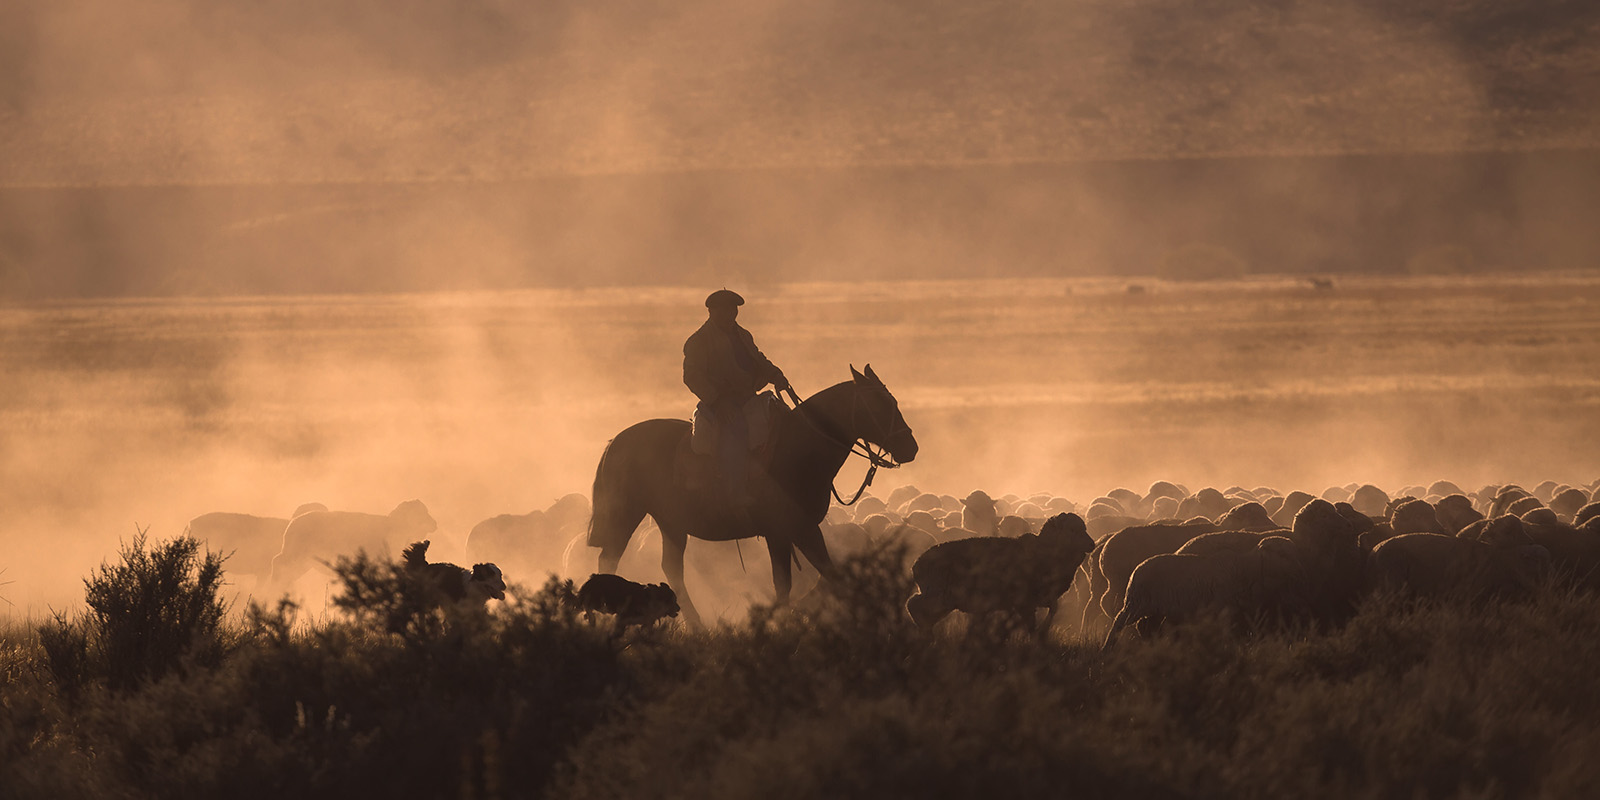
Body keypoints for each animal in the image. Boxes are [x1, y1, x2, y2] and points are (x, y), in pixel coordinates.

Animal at [270, 499, 438, 595]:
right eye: (421, 513)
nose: (434, 524)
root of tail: (293, 522)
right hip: (294, 555)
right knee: (277, 565)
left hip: (302, 561)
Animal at [588, 366, 921, 627]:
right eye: (879, 405)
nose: (911, 448)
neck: (798, 450)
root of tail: (615, 441)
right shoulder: (786, 530)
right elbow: (796, 580)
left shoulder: (798, 530)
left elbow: (818, 575)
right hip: (626, 515)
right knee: (610, 559)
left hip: (672, 523)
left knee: (672, 569)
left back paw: (697, 625)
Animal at [915, 515, 1100, 633]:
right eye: (1072, 530)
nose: (1092, 544)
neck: (1044, 552)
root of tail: (917, 565)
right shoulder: (1025, 601)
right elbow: (1031, 625)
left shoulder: (1042, 598)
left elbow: (1054, 609)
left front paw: (1044, 630)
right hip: (939, 594)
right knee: (914, 605)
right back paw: (925, 635)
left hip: (945, 600)